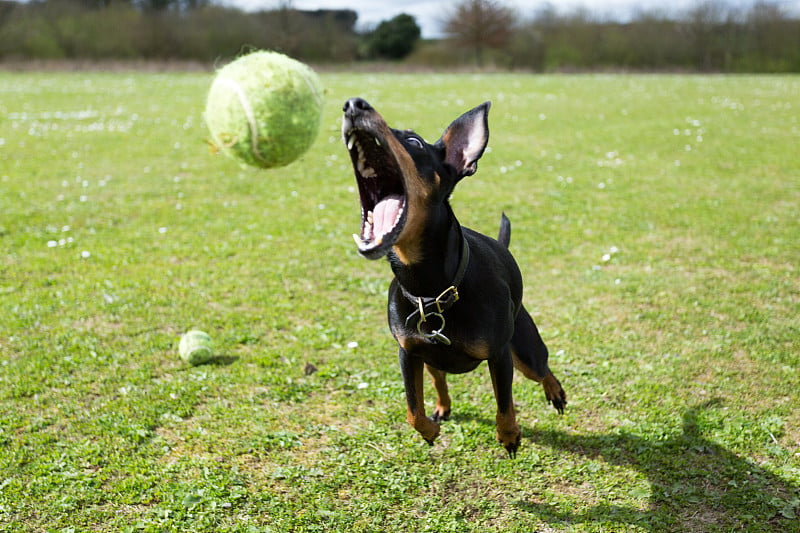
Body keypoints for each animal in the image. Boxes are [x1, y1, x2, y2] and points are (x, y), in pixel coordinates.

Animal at [340, 97, 564, 456]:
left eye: (414, 142)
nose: (353, 104)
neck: (431, 289)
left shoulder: (500, 354)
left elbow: (504, 404)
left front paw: (509, 436)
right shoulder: (408, 352)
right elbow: (412, 409)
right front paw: (430, 430)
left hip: (525, 349)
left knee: (542, 368)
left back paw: (555, 392)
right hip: (431, 357)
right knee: (439, 377)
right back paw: (442, 407)